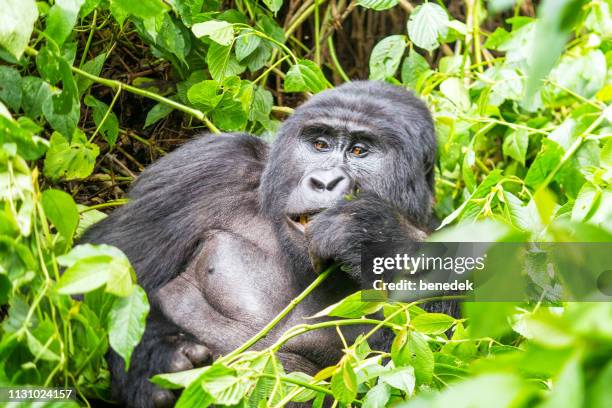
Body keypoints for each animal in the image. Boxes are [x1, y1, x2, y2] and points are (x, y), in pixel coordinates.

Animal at [83, 81, 442, 406]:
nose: (325, 181)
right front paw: (155, 359)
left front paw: (371, 233)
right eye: (320, 144)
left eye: (359, 151)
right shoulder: (211, 167)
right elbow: (111, 265)